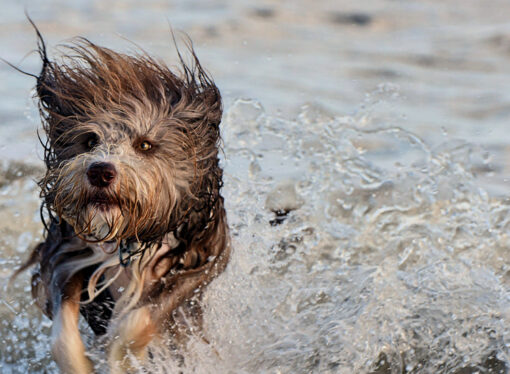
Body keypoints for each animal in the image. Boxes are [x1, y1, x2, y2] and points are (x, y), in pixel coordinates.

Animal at [11, 21, 231, 372]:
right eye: (89, 141)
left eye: (145, 145)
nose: (101, 171)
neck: (127, 235)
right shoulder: (69, 255)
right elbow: (62, 335)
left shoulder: (198, 263)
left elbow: (139, 319)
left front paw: (120, 357)